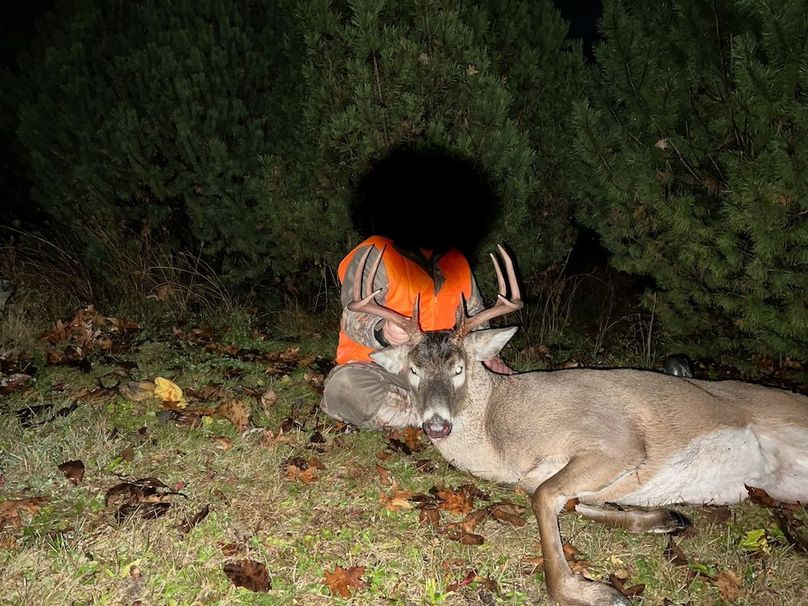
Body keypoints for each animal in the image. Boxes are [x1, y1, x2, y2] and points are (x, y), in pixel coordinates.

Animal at [348, 244, 808, 606]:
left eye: (459, 368)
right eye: (413, 370)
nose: (437, 425)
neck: (504, 434)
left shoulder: (617, 442)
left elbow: (546, 498)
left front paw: (597, 592)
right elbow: (572, 502)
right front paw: (666, 519)